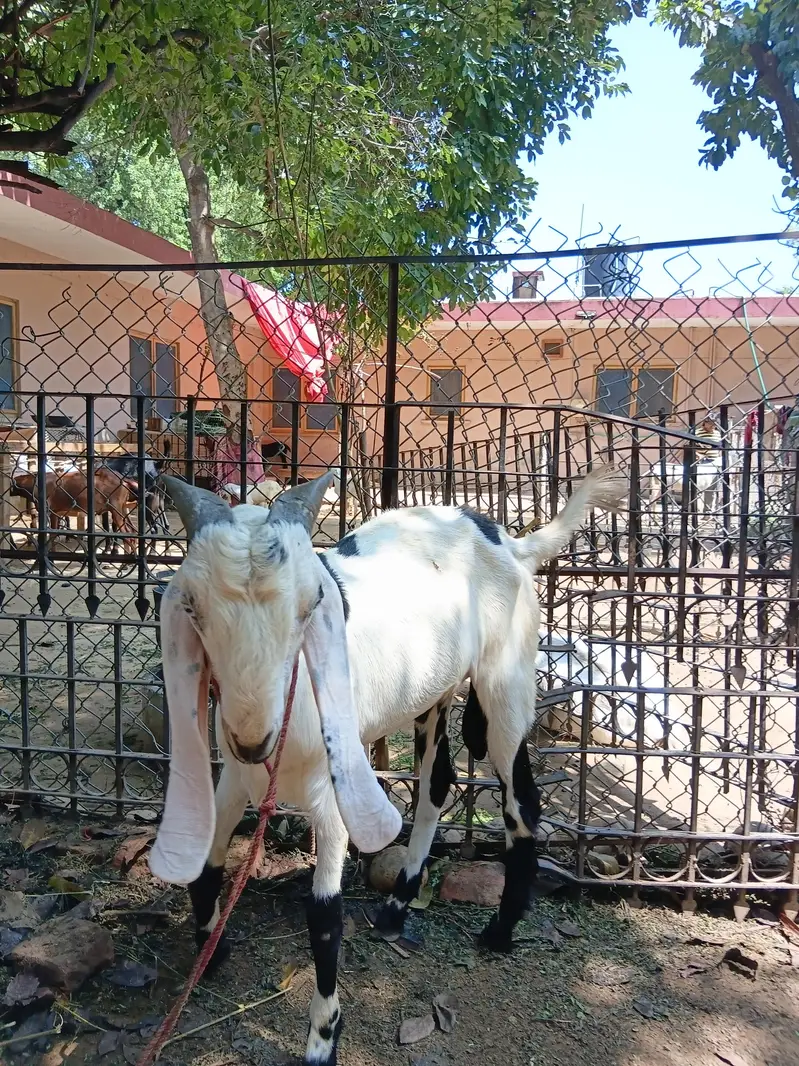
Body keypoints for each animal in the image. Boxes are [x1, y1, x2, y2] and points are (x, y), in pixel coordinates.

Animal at [149, 466, 626, 1066]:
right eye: (192, 606)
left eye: (311, 605)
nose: (254, 740)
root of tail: (511, 543)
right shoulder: (235, 776)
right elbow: (207, 865)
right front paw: (210, 953)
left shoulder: (330, 791)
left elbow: (324, 916)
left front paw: (323, 1040)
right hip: (433, 692)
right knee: (438, 782)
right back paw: (399, 907)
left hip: (506, 678)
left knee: (521, 802)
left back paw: (500, 931)